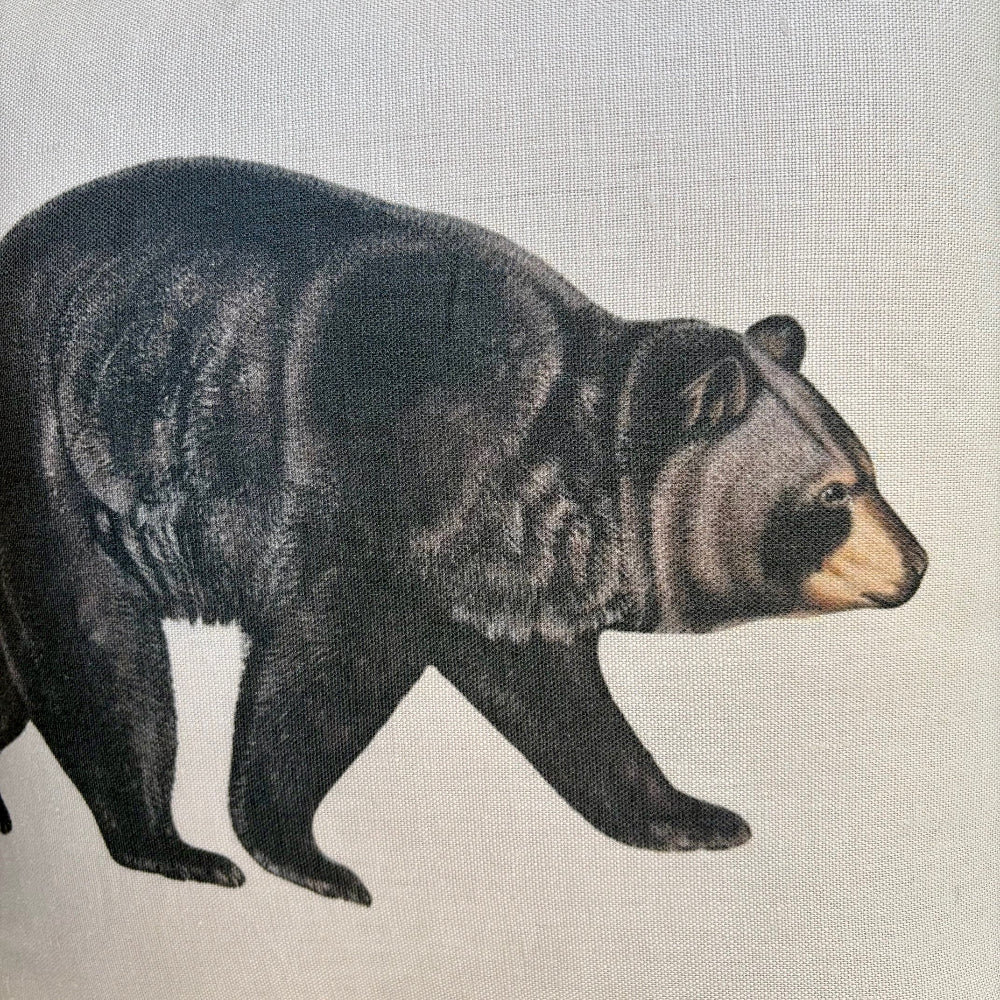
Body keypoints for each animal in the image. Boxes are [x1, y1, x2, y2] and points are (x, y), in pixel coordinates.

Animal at [0, 158, 927, 905]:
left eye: (868, 468)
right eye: (834, 493)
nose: (917, 564)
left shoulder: (506, 564)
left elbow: (560, 702)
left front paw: (692, 814)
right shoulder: (377, 479)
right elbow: (320, 667)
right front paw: (304, 853)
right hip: (54, 452)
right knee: (98, 644)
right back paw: (164, 843)